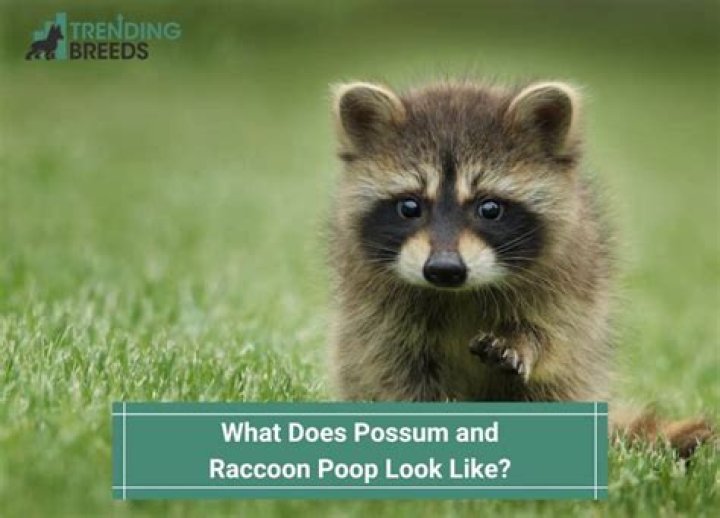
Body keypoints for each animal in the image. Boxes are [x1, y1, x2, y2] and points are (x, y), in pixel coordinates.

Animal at [327, 79, 713, 456]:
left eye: (490, 208)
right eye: (410, 207)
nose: (444, 269)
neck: (460, 292)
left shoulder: (572, 276)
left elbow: (556, 335)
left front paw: (524, 341)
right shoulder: (376, 308)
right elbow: (392, 367)